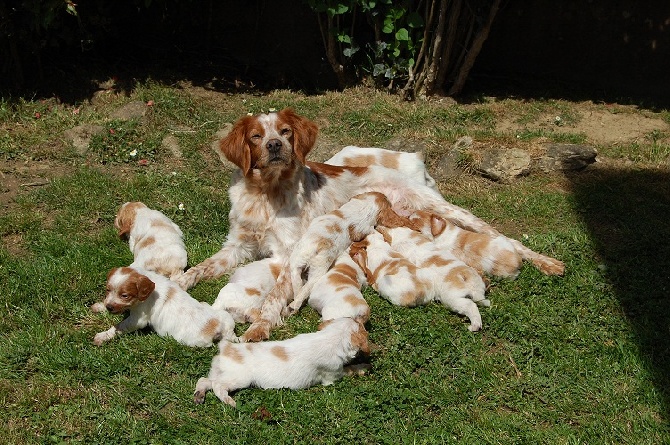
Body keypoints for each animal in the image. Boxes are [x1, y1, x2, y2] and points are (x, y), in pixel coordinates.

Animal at [93, 266, 238, 346]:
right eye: (107, 290)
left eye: (125, 295)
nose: (110, 308)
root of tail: (221, 328)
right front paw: (100, 306)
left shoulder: (138, 319)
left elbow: (119, 326)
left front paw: (103, 336)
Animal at [193, 316, 372, 406]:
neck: (332, 336)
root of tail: (226, 347)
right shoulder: (333, 374)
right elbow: (351, 369)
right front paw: (365, 366)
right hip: (238, 379)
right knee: (217, 386)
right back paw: (230, 402)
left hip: (218, 373)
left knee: (204, 380)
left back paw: (198, 396)